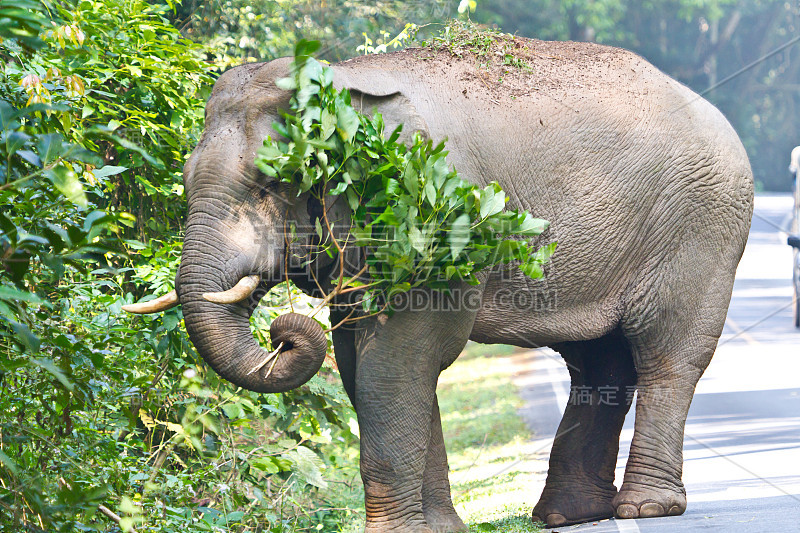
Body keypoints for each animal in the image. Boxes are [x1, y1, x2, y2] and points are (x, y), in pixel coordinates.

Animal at [122, 35, 752, 528]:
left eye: (271, 182)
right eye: (184, 178)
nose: (280, 333)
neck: (347, 80)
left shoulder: (438, 226)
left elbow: (401, 359)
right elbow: (361, 363)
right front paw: (439, 529)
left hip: (701, 226)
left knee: (666, 354)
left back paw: (646, 509)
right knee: (600, 361)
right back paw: (567, 515)